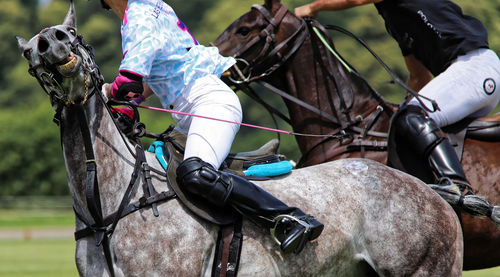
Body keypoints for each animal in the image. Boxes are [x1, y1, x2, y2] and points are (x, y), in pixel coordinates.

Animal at [15, 1, 462, 274]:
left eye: (75, 36)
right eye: (29, 54)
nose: (50, 42)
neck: (108, 206)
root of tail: (429, 189)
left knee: (198, 171)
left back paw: (298, 224)